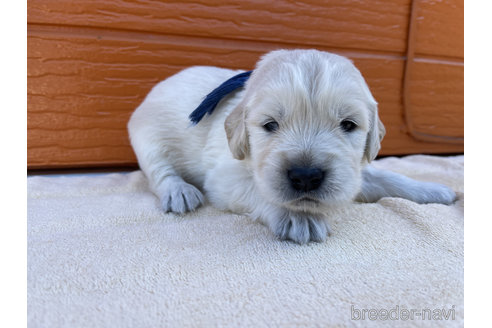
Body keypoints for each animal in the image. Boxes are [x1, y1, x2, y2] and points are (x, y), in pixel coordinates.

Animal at [128, 48, 458, 243]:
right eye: (270, 125)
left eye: (348, 125)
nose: (306, 176)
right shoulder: (223, 177)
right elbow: (259, 190)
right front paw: (299, 216)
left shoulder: (352, 172)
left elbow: (386, 176)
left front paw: (433, 190)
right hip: (147, 137)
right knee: (158, 170)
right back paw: (178, 191)